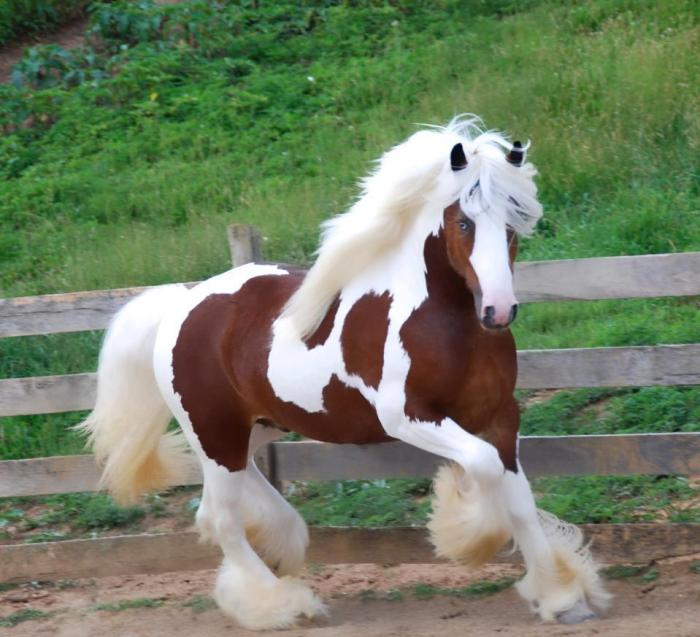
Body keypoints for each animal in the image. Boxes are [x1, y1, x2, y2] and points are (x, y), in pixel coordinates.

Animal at [80, 118, 608, 628]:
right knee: (223, 520)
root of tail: (181, 305)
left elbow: (519, 499)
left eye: (515, 218)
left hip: (254, 430)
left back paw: (280, 550)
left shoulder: (499, 416)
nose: (499, 311)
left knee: (217, 509)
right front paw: (467, 530)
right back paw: (283, 606)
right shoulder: (408, 417)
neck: (440, 322)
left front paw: (562, 600)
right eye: (464, 221)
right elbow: (482, 468)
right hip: (215, 433)